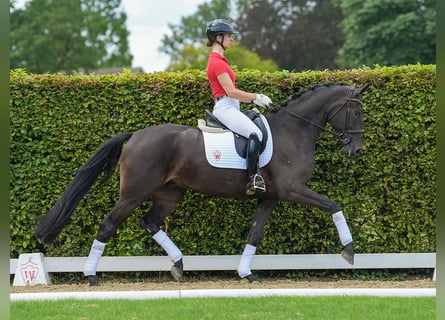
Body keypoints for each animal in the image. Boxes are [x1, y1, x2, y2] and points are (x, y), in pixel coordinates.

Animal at [34, 82, 370, 284]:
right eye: (357, 110)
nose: (354, 149)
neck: (295, 129)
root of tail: (135, 135)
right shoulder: (292, 190)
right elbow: (333, 205)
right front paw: (349, 251)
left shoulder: (270, 198)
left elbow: (255, 234)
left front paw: (246, 273)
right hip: (133, 194)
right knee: (108, 225)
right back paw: (91, 275)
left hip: (168, 194)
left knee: (149, 222)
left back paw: (179, 265)